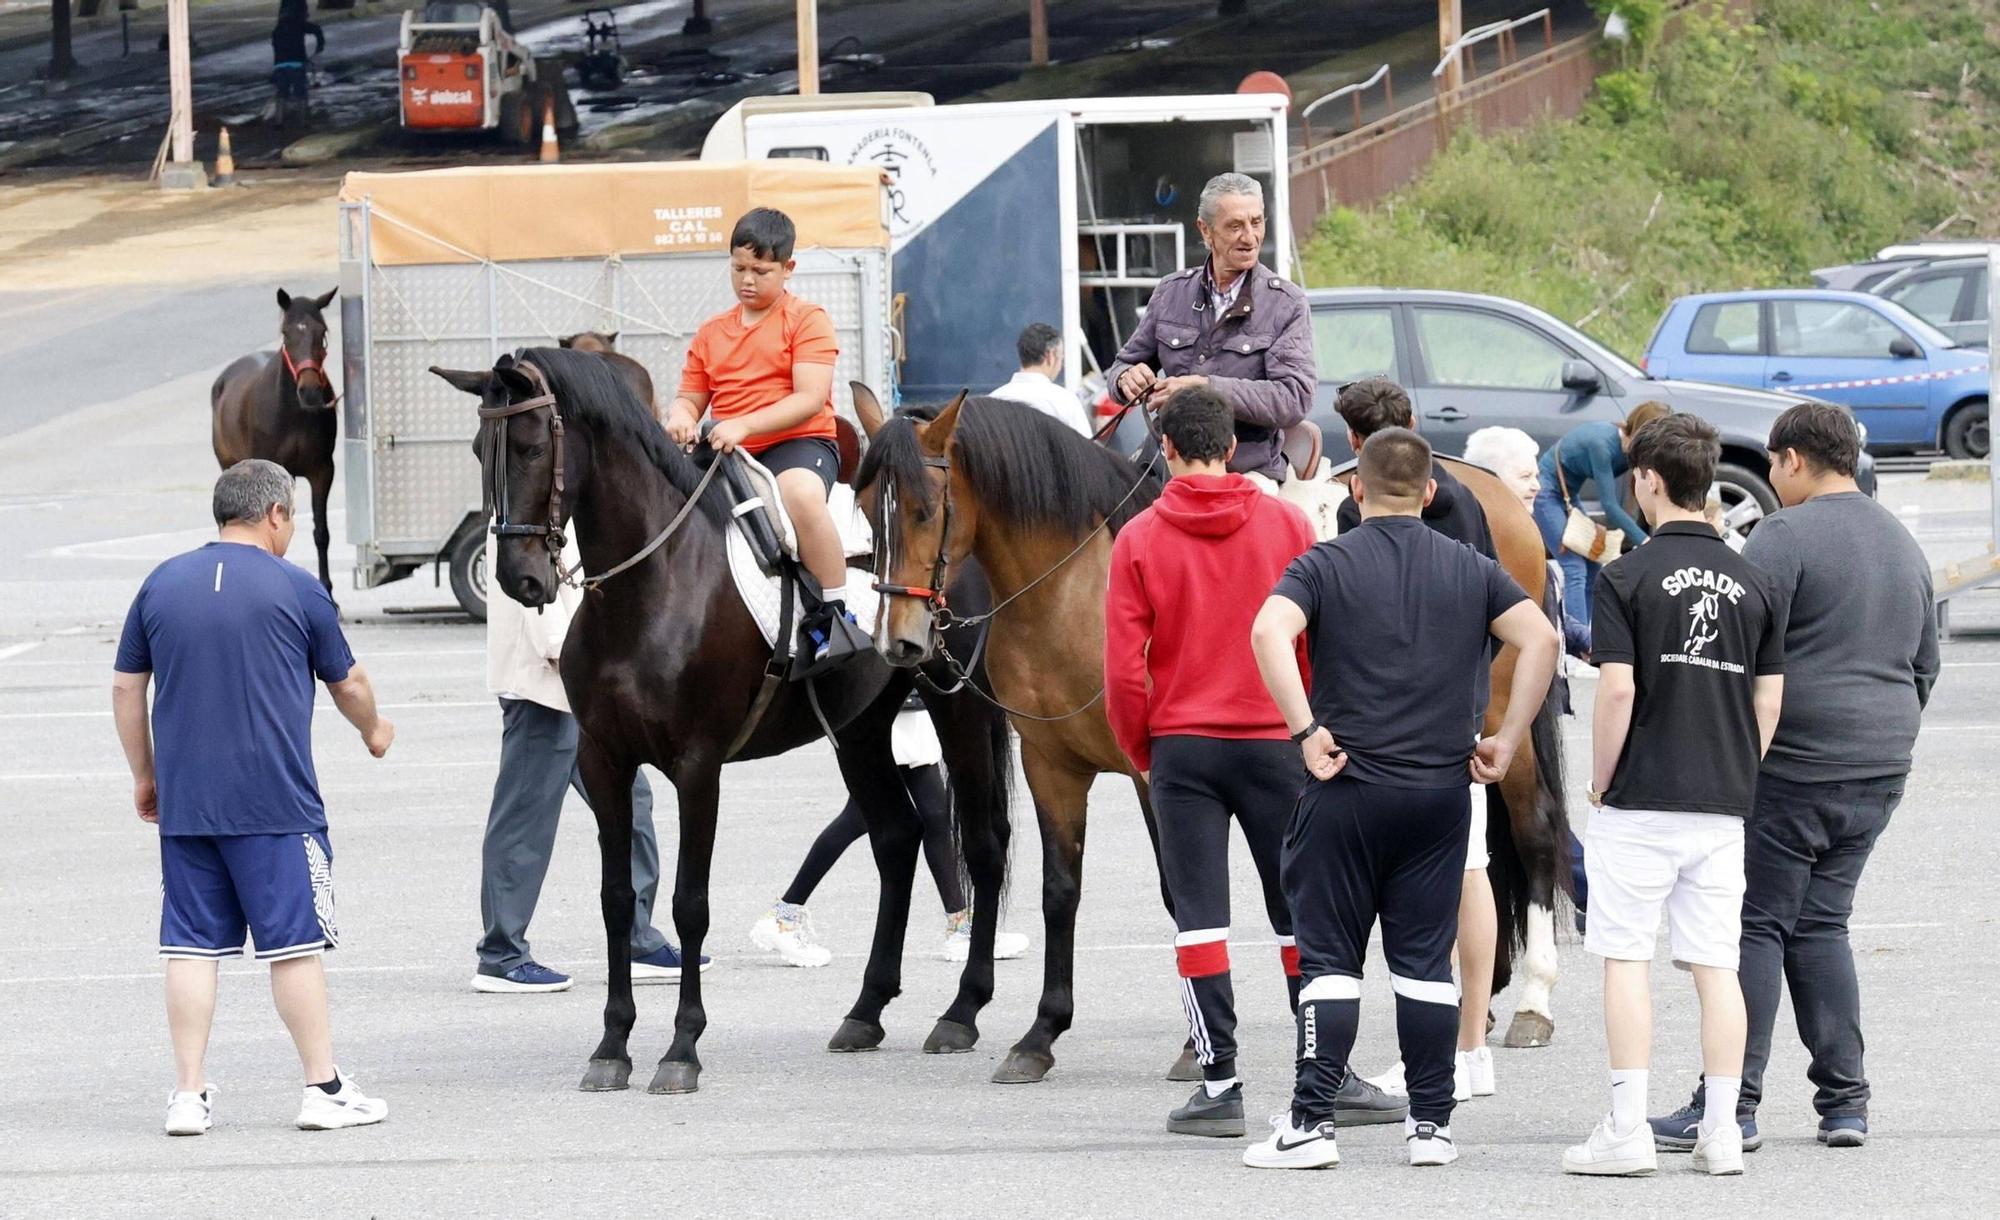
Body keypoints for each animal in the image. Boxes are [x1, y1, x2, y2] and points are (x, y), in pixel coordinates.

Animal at [212, 282, 340, 592]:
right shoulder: (281, 471)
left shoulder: (322, 471)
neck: (294, 412)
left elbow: (322, 532)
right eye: (287, 333)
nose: (310, 392)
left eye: (322, 332)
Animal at [426, 346, 1016, 1088]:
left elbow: (689, 903)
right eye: (481, 450)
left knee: (984, 845)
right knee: (895, 838)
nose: (518, 578)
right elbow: (617, 899)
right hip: (858, 730)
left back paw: (963, 1009)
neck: (652, 586)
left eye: (532, 448)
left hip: (956, 706)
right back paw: (866, 1010)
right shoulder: (604, 759)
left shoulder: (697, 766)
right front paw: (613, 1044)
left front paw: (681, 1047)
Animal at [860, 392, 1576, 1080]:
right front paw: (1041, 1033)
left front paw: (1191, 1044)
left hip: (1501, 726)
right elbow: (1059, 889)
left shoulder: (1152, 772)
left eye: (925, 509)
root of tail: (1492, 492)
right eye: (868, 512)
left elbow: (1182, 896)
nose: (899, 642)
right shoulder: (1050, 763)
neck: (1074, 586)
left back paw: (1534, 1000)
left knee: (1535, 832)